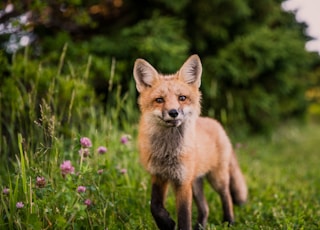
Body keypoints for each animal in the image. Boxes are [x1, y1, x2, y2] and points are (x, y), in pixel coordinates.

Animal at [133, 54, 248, 229]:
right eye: (159, 100)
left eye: (182, 98)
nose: (173, 112)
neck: (168, 152)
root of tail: (215, 123)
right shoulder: (159, 175)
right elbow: (155, 206)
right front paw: (166, 223)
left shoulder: (183, 182)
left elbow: (184, 216)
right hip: (196, 183)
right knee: (205, 208)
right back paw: (201, 225)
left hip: (217, 178)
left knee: (226, 196)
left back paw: (229, 221)